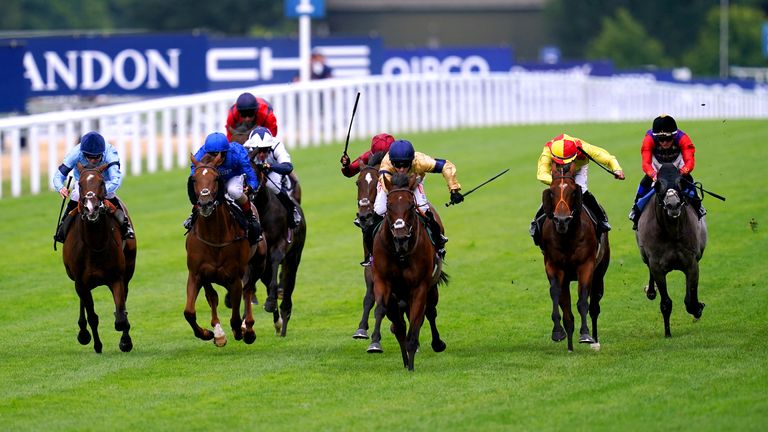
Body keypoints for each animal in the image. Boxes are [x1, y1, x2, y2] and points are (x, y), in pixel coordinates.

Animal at [62, 162, 137, 354]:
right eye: (80, 184)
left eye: (102, 182)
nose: (91, 208)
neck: (95, 244)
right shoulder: (81, 282)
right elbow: (92, 316)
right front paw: (96, 344)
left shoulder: (116, 278)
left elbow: (121, 316)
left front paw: (125, 341)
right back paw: (83, 333)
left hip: (128, 270)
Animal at [185, 154, 258, 346]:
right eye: (194, 179)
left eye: (216, 178)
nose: (205, 203)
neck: (214, 237)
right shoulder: (197, 274)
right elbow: (190, 311)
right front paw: (210, 333)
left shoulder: (234, 277)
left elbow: (235, 315)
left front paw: (240, 331)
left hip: (258, 263)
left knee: (248, 290)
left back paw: (248, 329)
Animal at [368, 173, 448, 372]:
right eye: (389, 206)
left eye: (411, 206)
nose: (401, 235)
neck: (401, 253)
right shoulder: (383, 281)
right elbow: (380, 310)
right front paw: (374, 342)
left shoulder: (419, 287)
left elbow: (416, 322)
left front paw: (411, 366)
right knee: (399, 326)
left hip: (431, 288)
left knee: (430, 312)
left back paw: (436, 344)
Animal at [536, 161, 608, 352]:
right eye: (551, 191)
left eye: (573, 191)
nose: (562, 220)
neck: (567, 236)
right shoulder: (553, 265)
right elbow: (556, 294)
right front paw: (557, 332)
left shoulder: (586, 265)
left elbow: (583, 299)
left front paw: (585, 335)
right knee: (567, 307)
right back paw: (569, 343)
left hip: (599, 273)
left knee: (594, 306)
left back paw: (595, 339)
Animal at [636, 162, 708, 338]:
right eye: (658, 185)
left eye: (680, 184)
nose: (673, 205)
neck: (672, 232)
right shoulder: (657, 266)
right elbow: (666, 303)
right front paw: (667, 333)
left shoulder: (692, 264)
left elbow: (691, 300)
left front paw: (698, 308)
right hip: (644, 255)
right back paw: (650, 291)